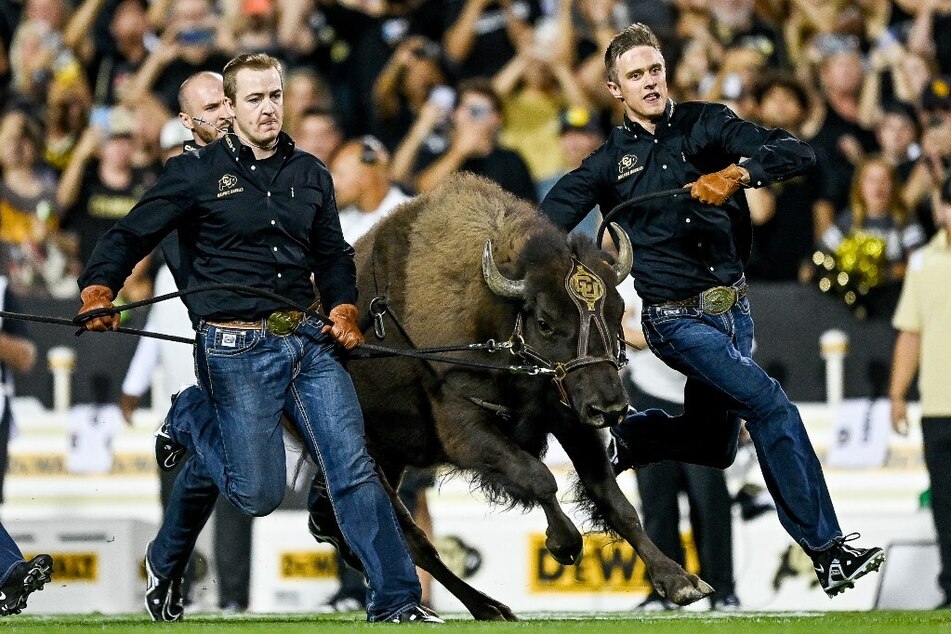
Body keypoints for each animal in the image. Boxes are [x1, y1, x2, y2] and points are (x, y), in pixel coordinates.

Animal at [308, 173, 712, 616]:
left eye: (618, 310)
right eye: (545, 321)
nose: (610, 408)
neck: (495, 314)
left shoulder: (570, 419)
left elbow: (614, 500)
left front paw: (681, 583)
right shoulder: (469, 433)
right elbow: (539, 478)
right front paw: (566, 545)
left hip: (390, 457)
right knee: (414, 541)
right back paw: (487, 607)